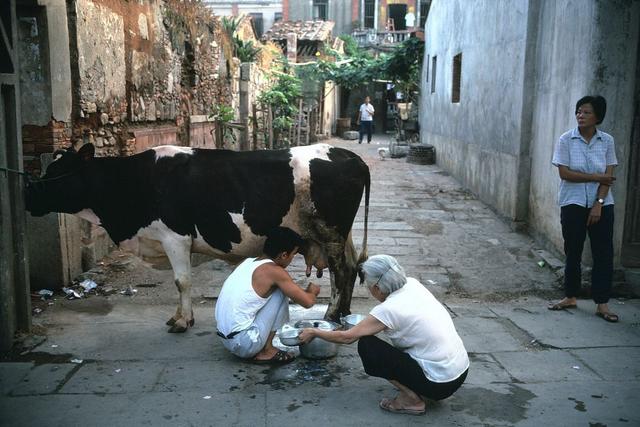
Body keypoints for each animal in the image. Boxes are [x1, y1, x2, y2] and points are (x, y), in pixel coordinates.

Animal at [25, 144, 370, 334]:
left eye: (57, 173)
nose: (28, 195)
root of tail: (349, 155)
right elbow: (180, 282)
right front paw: (179, 317)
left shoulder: (175, 237)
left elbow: (182, 281)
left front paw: (183, 321)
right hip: (341, 235)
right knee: (352, 266)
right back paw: (341, 313)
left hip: (330, 232)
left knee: (341, 272)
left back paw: (332, 314)